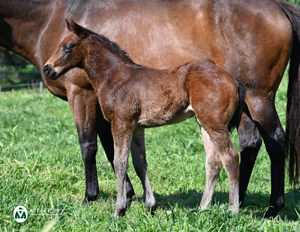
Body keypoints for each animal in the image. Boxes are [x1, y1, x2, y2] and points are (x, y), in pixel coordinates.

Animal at [43, 20, 245, 218]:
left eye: (68, 47)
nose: (47, 69)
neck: (115, 77)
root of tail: (233, 79)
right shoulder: (137, 127)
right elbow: (140, 163)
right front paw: (150, 206)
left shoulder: (121, 123)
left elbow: (120, 162)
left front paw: (119, 210)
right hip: (204, 123)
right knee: (213, 162)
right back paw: (202, 208)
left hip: (215, 125)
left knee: (231, 157)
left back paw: (232, 210)